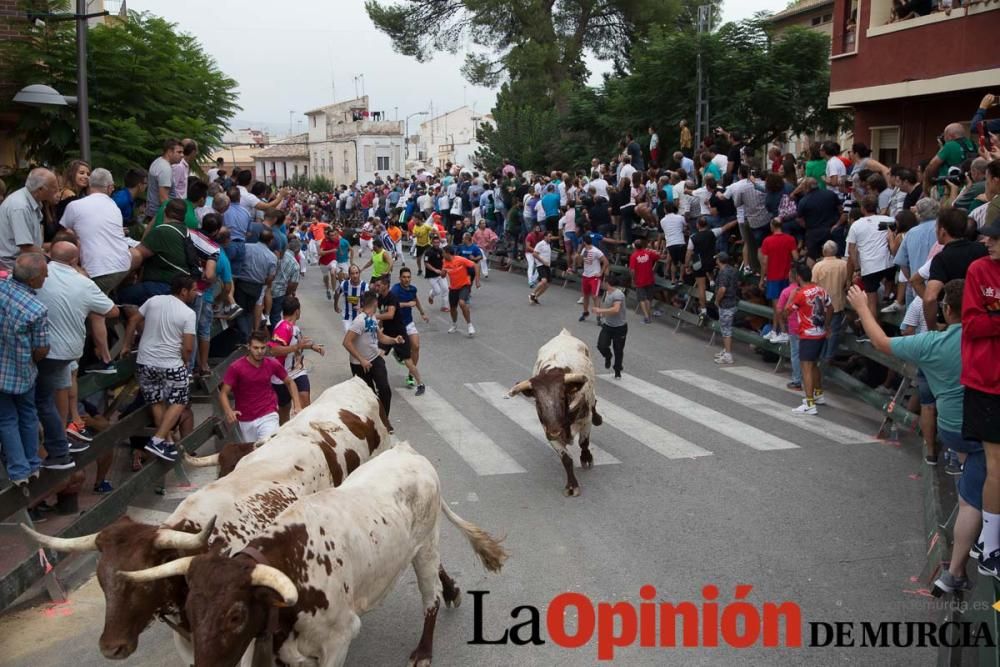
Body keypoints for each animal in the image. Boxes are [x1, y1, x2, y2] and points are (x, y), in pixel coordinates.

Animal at [120, 444, 508, 667]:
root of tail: (408, 453)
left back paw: (423, 652)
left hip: (425, 547)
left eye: (235, 615)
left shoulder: (338, 640)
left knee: (431, 598)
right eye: (189, 609)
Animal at [508, 328, 600, 496]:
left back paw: (598, 418)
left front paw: (586, 458)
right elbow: (566, 459)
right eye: (537, 401)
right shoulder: (548, 431)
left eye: (562, 397)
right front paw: (572, 486)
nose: (555, 431)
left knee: (595, 403)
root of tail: (564, 334)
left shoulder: (585, 420)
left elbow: (583, 443)